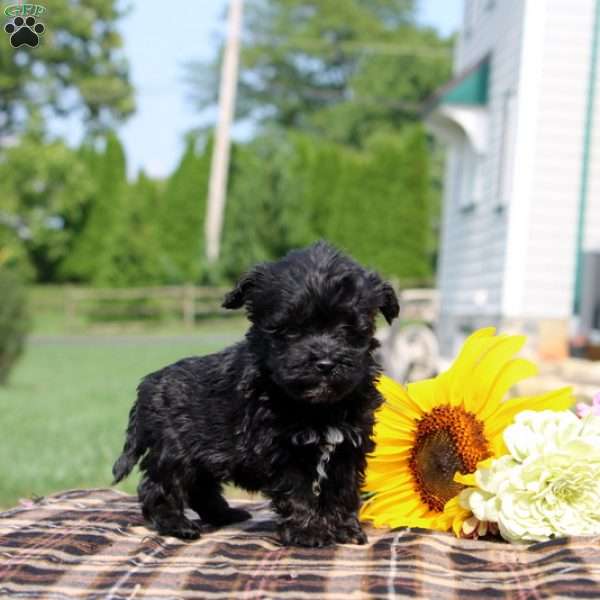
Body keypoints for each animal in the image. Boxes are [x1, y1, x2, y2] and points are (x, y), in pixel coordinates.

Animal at [112, 241, 398, 548]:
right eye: (291, 330)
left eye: (349, 329)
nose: (325, 363)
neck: (318, 407)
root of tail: (147, 385)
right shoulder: (282, 450)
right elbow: (299, 492)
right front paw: (309, 532)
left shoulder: (348, 446)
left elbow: (342, 490)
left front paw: (344, 529)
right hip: (175, 450)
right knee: (157, 487)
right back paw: (178, 525)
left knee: (200, 488)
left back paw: (225, 514)